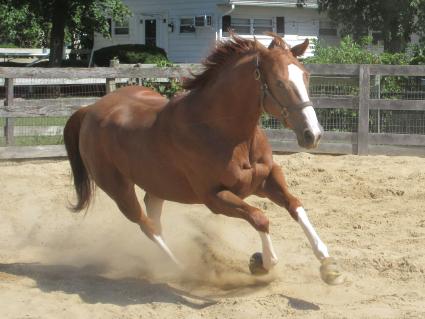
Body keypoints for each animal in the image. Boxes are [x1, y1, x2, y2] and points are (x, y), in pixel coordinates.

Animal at [63, 33, 342, 284]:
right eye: (279, 82)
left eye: (306, 76)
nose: (313, 134)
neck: (223, 131)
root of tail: (90, 110)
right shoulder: (215, 197)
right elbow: (260, 218)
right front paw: (261, 263)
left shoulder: (265, 179)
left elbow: (295, 204)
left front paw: (328, 264)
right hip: (119, 190)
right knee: (147, 226)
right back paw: (181, 269)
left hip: (157, 186)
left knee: (154, 219)